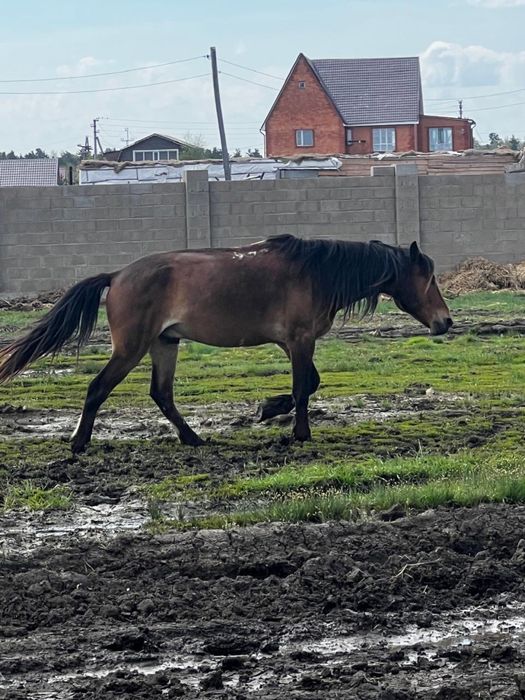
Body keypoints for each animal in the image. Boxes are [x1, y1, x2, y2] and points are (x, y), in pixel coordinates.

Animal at [0, 234, 452, 453]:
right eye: (428, 278)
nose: (445, 322)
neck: (315, 272)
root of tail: (117, 275)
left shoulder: (292, 343)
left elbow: (307, 385)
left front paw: (268, 409)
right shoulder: (299, 340)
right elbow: (303, 387)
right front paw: (298, 432)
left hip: (165, 343)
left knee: (161, 394)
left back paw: (193, 438)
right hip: (131, 348)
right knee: (98, 388)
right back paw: (79, 443)